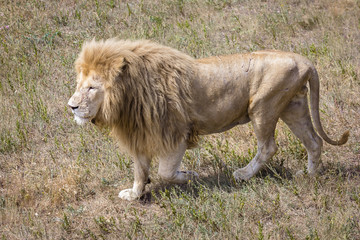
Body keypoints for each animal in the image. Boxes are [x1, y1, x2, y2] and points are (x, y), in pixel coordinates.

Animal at [67, 39, 348, 201]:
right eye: (80, 85)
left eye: (92, 88)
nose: (71, 106)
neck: (128, 99)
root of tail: (304, 60)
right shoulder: (140, 135)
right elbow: (140, 170)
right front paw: (135, 194)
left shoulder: (176, 133)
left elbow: (165, 172)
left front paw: (188, 175)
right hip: (294, 107)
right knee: (314, 142)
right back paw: (309, 175)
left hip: (262, 107)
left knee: (268, 147)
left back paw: (243, 175)